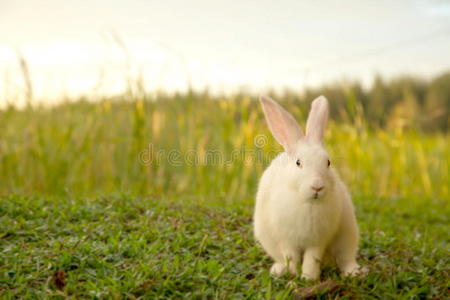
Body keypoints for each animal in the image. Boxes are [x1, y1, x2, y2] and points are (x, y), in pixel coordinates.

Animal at [253, 95, 366, 280]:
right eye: (298, 163)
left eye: (328, 162)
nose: (317, 187)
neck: (309, 203)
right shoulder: (287, 240)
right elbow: (291, 257)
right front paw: (293, 274)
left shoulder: (317, 241)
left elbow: (312, 259)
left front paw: (308, 277)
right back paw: (278, 270)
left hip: (347, 236)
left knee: (345, 258)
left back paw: (355, 272)